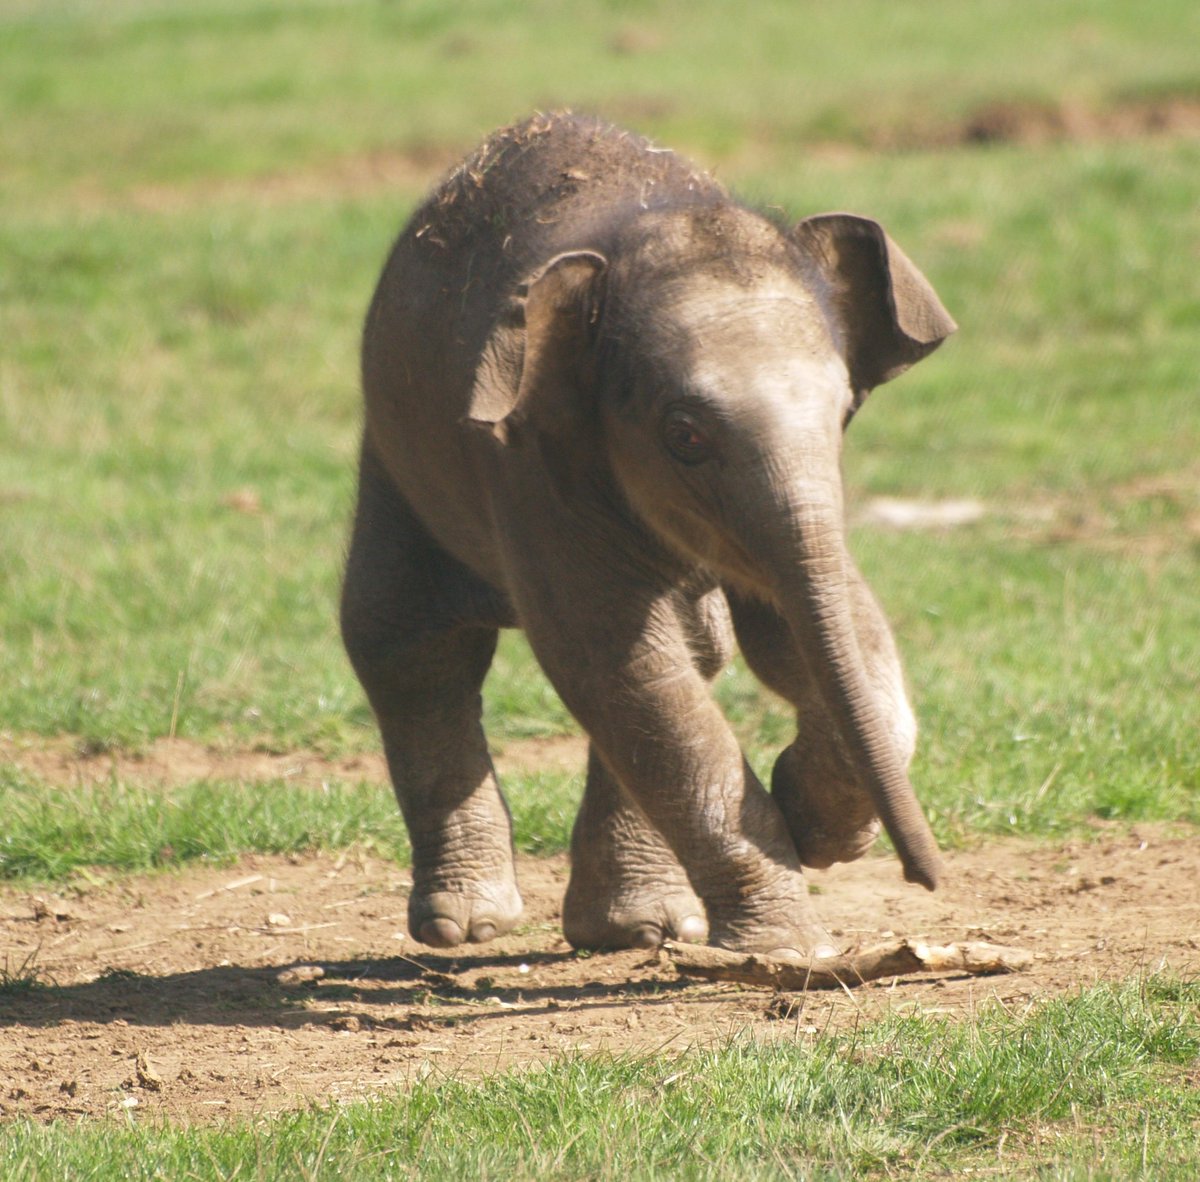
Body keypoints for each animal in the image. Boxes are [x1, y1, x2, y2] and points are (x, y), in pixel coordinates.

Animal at [340, 112, 956, 958]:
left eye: (842, 415)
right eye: (685, 435)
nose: (929, 879)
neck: (643, 228)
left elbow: (815, 634)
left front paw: (815, 823)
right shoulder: (531, 463)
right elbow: (619, 667)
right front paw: (787, 948)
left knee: (698, 646)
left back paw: (636, 930)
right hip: (397, 464)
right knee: (405, 644)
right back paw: (466, 926)